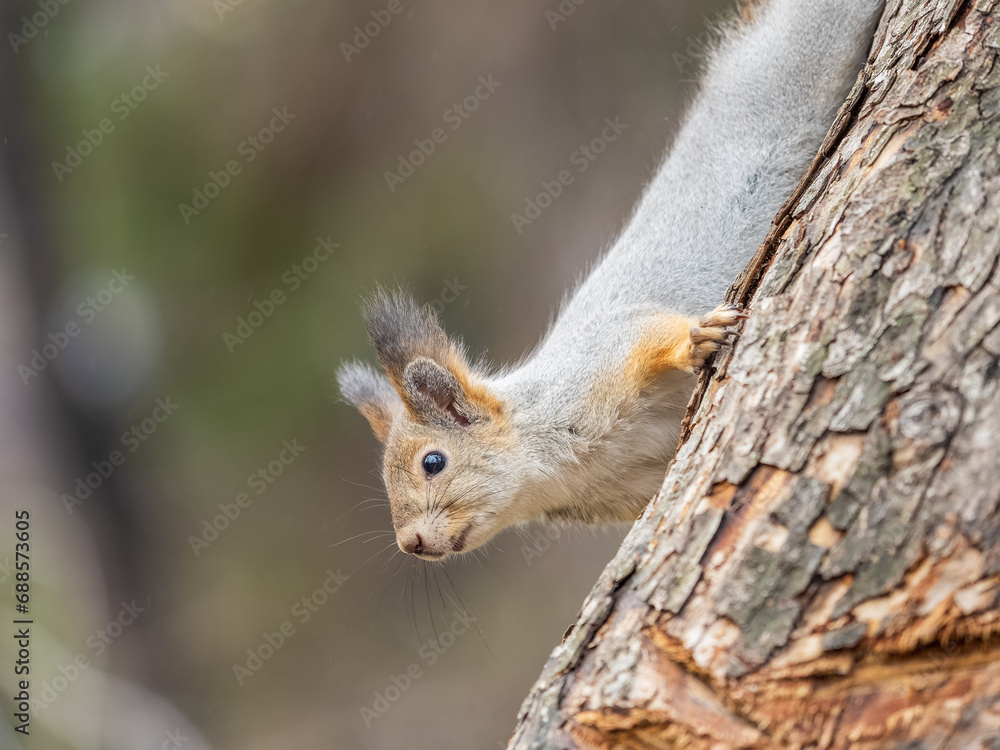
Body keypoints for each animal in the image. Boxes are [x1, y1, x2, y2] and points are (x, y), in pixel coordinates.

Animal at [338, 0, 884, 561]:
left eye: (433, 462)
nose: (410, 543)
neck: (552, 467)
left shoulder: (600, 361)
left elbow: (650, 335)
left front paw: (696, 341)